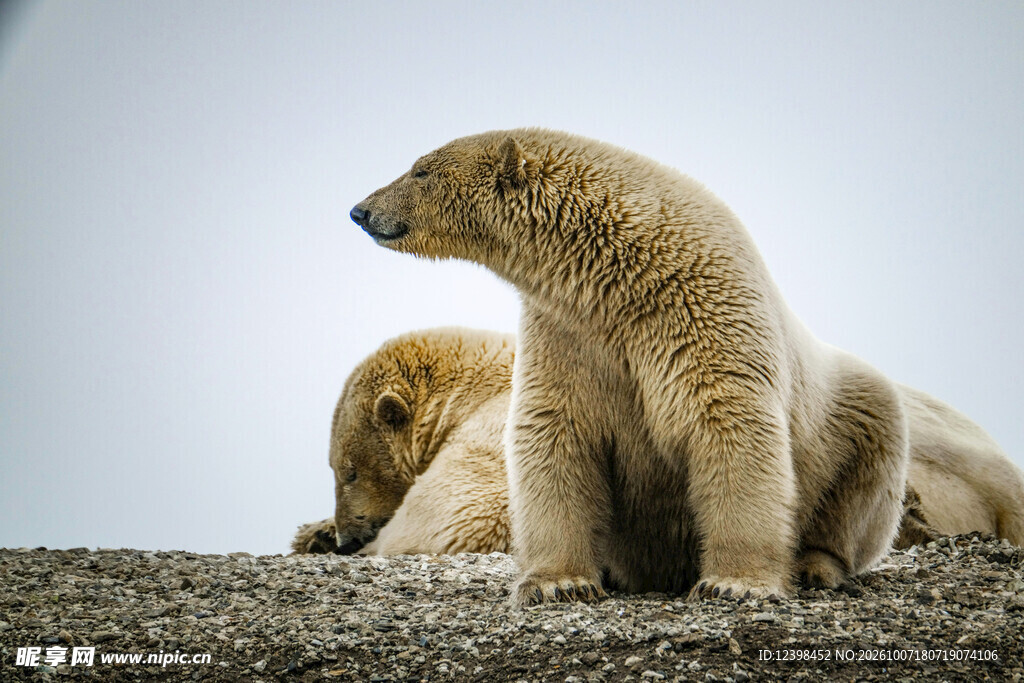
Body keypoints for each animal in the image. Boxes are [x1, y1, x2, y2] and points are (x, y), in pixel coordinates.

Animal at [349, 129, 996, 604]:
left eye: (420, 170)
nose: (359, 209)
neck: (618, 276)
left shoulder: (703, 314)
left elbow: (730, 429)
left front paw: (735, 583)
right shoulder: (569, 334)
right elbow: (555, 433)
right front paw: (559, 583)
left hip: (851, 409)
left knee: (865, 464)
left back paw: (816, 565)